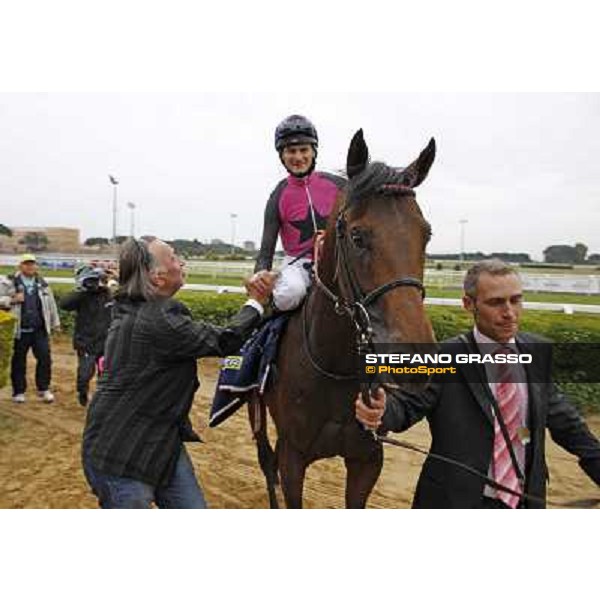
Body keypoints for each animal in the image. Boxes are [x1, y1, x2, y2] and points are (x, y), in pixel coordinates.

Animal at [251, 130, 438, 506]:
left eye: (426, 234)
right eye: (357, 236)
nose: (415, 354)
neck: (333, 367)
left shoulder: (368, 458)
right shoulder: (293, 456)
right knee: (266, 463)